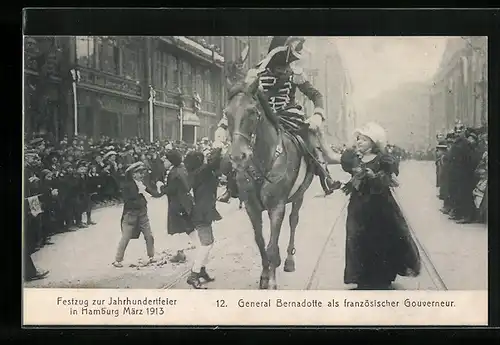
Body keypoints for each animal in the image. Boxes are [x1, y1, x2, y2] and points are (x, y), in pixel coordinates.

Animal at [226, 76, 316, 288]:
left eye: (252, 112)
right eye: (227, 113)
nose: (238, 156)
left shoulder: (277, 207)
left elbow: (272, 245)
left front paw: (273, 282)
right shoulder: (251, 207)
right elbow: (260, 242)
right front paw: (265, 275)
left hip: (299, 195)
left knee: (293, 221)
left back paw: (289, 260)